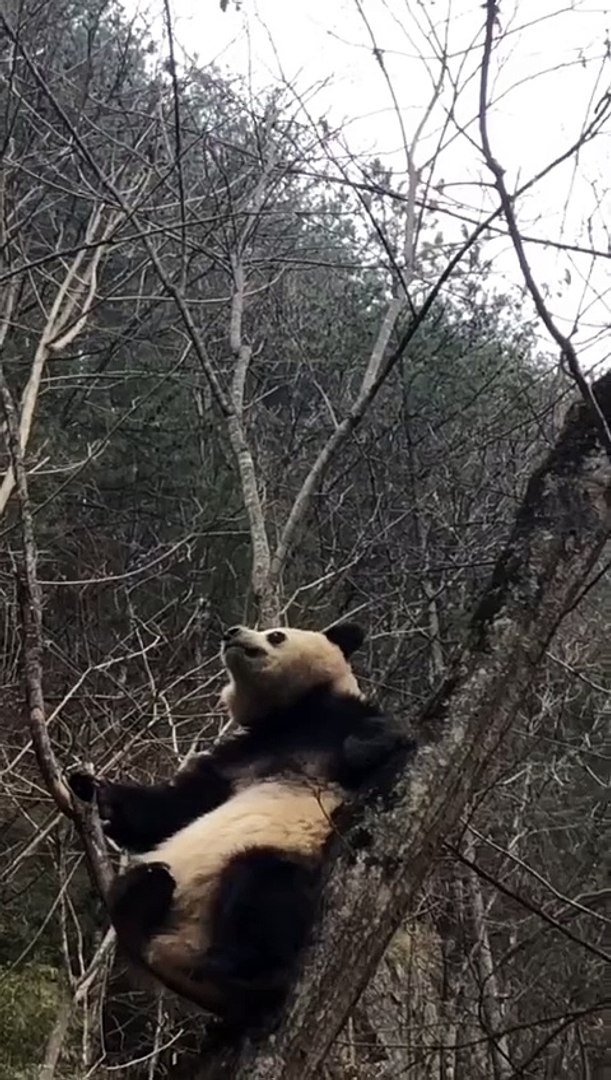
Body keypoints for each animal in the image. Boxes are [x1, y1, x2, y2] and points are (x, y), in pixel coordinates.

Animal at [69, 621, 409, 1023]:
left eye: (276, 634)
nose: (232, 632)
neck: (288, 716)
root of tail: (175, 951)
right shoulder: (238, 756)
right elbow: (175, 807)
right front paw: (91, 789)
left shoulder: (336, 722)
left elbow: (380, 745)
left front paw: (368, 745)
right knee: (139, 889)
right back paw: (143, 900)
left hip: (277, 859)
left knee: (264, 887)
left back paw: (246, 972)